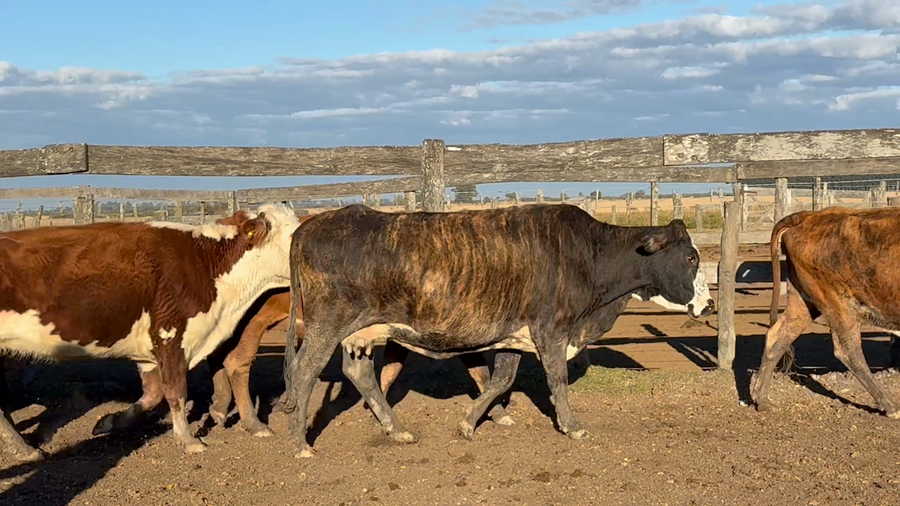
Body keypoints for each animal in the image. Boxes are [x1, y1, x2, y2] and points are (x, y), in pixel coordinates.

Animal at [0, 203, 301, 462]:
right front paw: (188, 441)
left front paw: (109, 422)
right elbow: (176, 391)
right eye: (293, 236)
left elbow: (153, 394)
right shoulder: (171, 335)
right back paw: (24, 448)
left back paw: (24, 447)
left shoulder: (149, 350)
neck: (205, 264)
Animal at [281, 203, 714, 457]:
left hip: (361, 334)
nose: (709, 305)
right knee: (303, 374)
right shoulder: (550, 330)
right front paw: (572, 426)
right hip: (326, 326)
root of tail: (308, 227)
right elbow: (557, 381)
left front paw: (470, 422)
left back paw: (397, 429)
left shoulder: (513, 336)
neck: (588, 255)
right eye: (690, 257)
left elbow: (500, 380)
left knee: (359, 374)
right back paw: (300, 442)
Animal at [752, 206, 900, 417]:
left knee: (777, 337)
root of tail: (810, 216)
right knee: (849, 351)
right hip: (840, 305)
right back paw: (890, 406)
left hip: (803, 302)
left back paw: (762, 399)